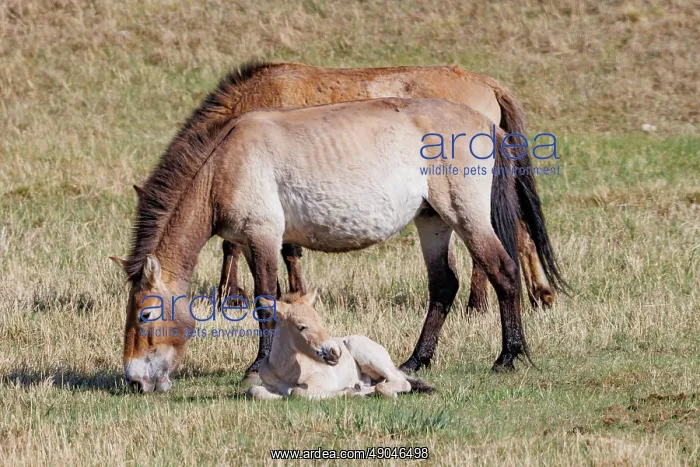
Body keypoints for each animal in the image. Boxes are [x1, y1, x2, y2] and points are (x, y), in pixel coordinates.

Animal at [136, 62, 564, 314]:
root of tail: (487, 83)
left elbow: (262, 248)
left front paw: (238, 294)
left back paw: (487, 302)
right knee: (517, 233)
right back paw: (533, 294)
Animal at [246, 290, 432, 400]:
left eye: (319, 321)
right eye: (301, 327)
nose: (335, 352)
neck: (286, 371)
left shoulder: (324, 379)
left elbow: (298, 392)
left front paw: (345, 392)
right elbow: (254, 391)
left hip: (366, 353)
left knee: (400, 382)